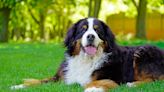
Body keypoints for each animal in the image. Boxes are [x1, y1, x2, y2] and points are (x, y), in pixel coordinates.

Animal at [10, 17, 163, 91]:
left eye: (97, 30)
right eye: (83, 29)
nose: (90, 36)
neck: (86, 59)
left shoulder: (114, 78)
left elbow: (97, 81)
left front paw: (93, 89)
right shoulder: (62, 76)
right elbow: (39, 80)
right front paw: (19, 86)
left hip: (142, 52)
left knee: (156, 79)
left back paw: (133, 84)